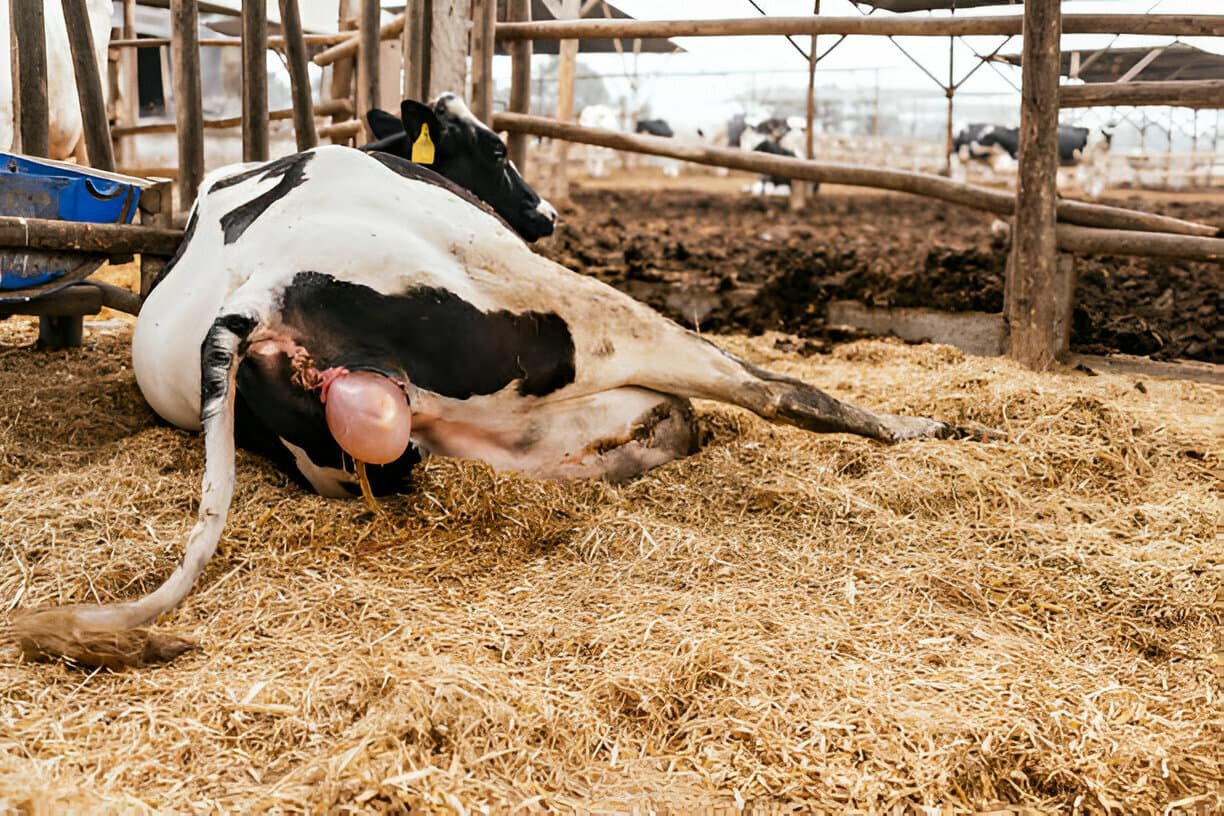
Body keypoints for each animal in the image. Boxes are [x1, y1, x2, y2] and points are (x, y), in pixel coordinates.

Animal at [11, 92, 997, 669]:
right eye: (491, 144)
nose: (547, 212)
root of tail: (257, 288)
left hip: (464, 429)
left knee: (644, 432)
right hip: (569, 310)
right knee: (767, 390)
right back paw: (925, 429)